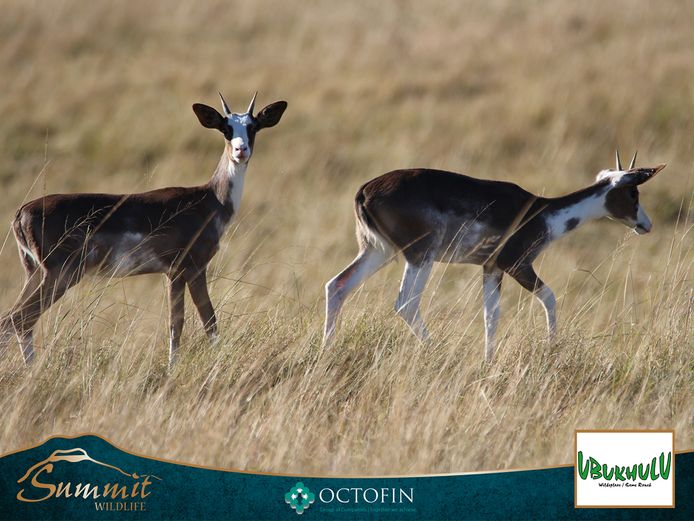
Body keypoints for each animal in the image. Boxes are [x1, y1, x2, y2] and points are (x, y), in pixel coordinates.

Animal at [0, 92, 287, 367]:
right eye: (226, 128)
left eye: (253, 126)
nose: (241, 150)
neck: (210, 200)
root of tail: (21, 212)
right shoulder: (187, 268)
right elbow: (191, 322)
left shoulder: (180, 271)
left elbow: (191, 322)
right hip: (59, 274)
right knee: (18, 320)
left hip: (35, 272)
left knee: (13, 321)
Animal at [323, 151, 666, 361]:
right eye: (634, 192)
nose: (646, 224)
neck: (543, 213)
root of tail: (365, 190)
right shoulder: (517, 265)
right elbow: (550, 298)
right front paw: (551, 349)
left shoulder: (490, 268)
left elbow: (491, 314)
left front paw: (488, 360)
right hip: (420, 256)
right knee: (405, 302)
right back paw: (437, 351)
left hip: (378, 252)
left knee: (337, 285)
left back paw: (327, 349)